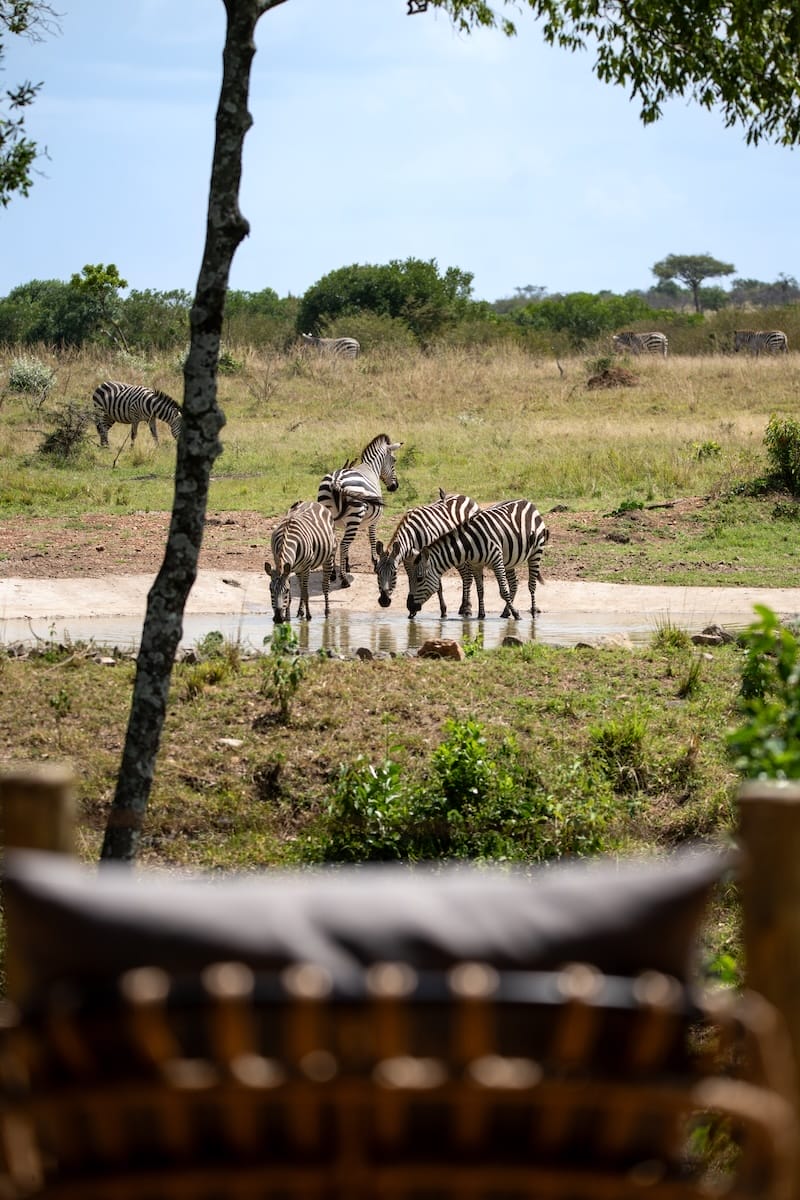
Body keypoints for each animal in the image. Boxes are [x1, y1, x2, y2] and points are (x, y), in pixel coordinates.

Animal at [317, 433, 402, 587]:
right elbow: (372, 538)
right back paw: (344, 579)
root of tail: (336, 480)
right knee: (344, 544)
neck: (371, 467)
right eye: (394, 460)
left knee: (335, 544)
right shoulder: (374, 519)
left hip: (331, 514)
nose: (395, 486)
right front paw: (375, 562)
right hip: (355, 516)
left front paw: (346, 565)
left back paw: (332, 574)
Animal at [374, 489, 479, 617]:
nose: (384, 601)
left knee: (467, 576)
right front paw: (412, 612)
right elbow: (411, 579)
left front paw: (443, 611)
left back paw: (467, 608)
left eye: (394, 573)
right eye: (377, 572)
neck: (413, 536)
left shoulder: (430, 557)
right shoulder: (409, 561)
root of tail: (463, 496)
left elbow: (439, 586)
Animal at [407, 499, 549, 621]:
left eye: (419, 579)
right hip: (509, 560)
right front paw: (481, 615)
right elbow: (480, 591)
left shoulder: (497, 560)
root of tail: (527, 502)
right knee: (514, 583)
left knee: (531, 585)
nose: (408, 606)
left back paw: (533, 612)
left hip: (536, 552)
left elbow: (503, 591)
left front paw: (516, 614)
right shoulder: (476, 565)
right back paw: (505, 612)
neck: (469, 543)